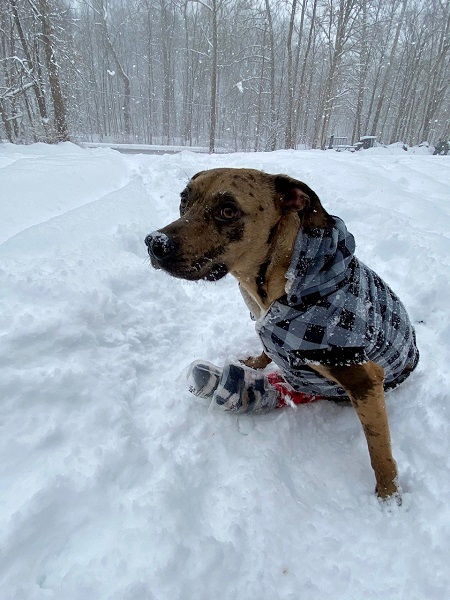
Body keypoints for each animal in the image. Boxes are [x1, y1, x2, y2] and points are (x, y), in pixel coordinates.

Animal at [146, 169, 420, 502]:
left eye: (228, 211)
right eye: (184, 200)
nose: (155, 243)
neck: (286, 284)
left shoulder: (362, 377)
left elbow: (378, 446)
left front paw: (389, 493)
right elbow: (266, 348)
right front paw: (254, 362)